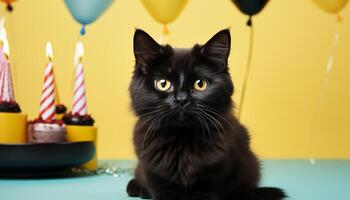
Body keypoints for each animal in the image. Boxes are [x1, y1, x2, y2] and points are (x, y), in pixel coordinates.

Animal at [127, 28, 286, 200]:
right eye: (163, 84)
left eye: (200, 84)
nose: (181, 99)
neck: (182, 139)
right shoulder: (153, 172)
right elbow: (160, 187)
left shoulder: (218, 173)